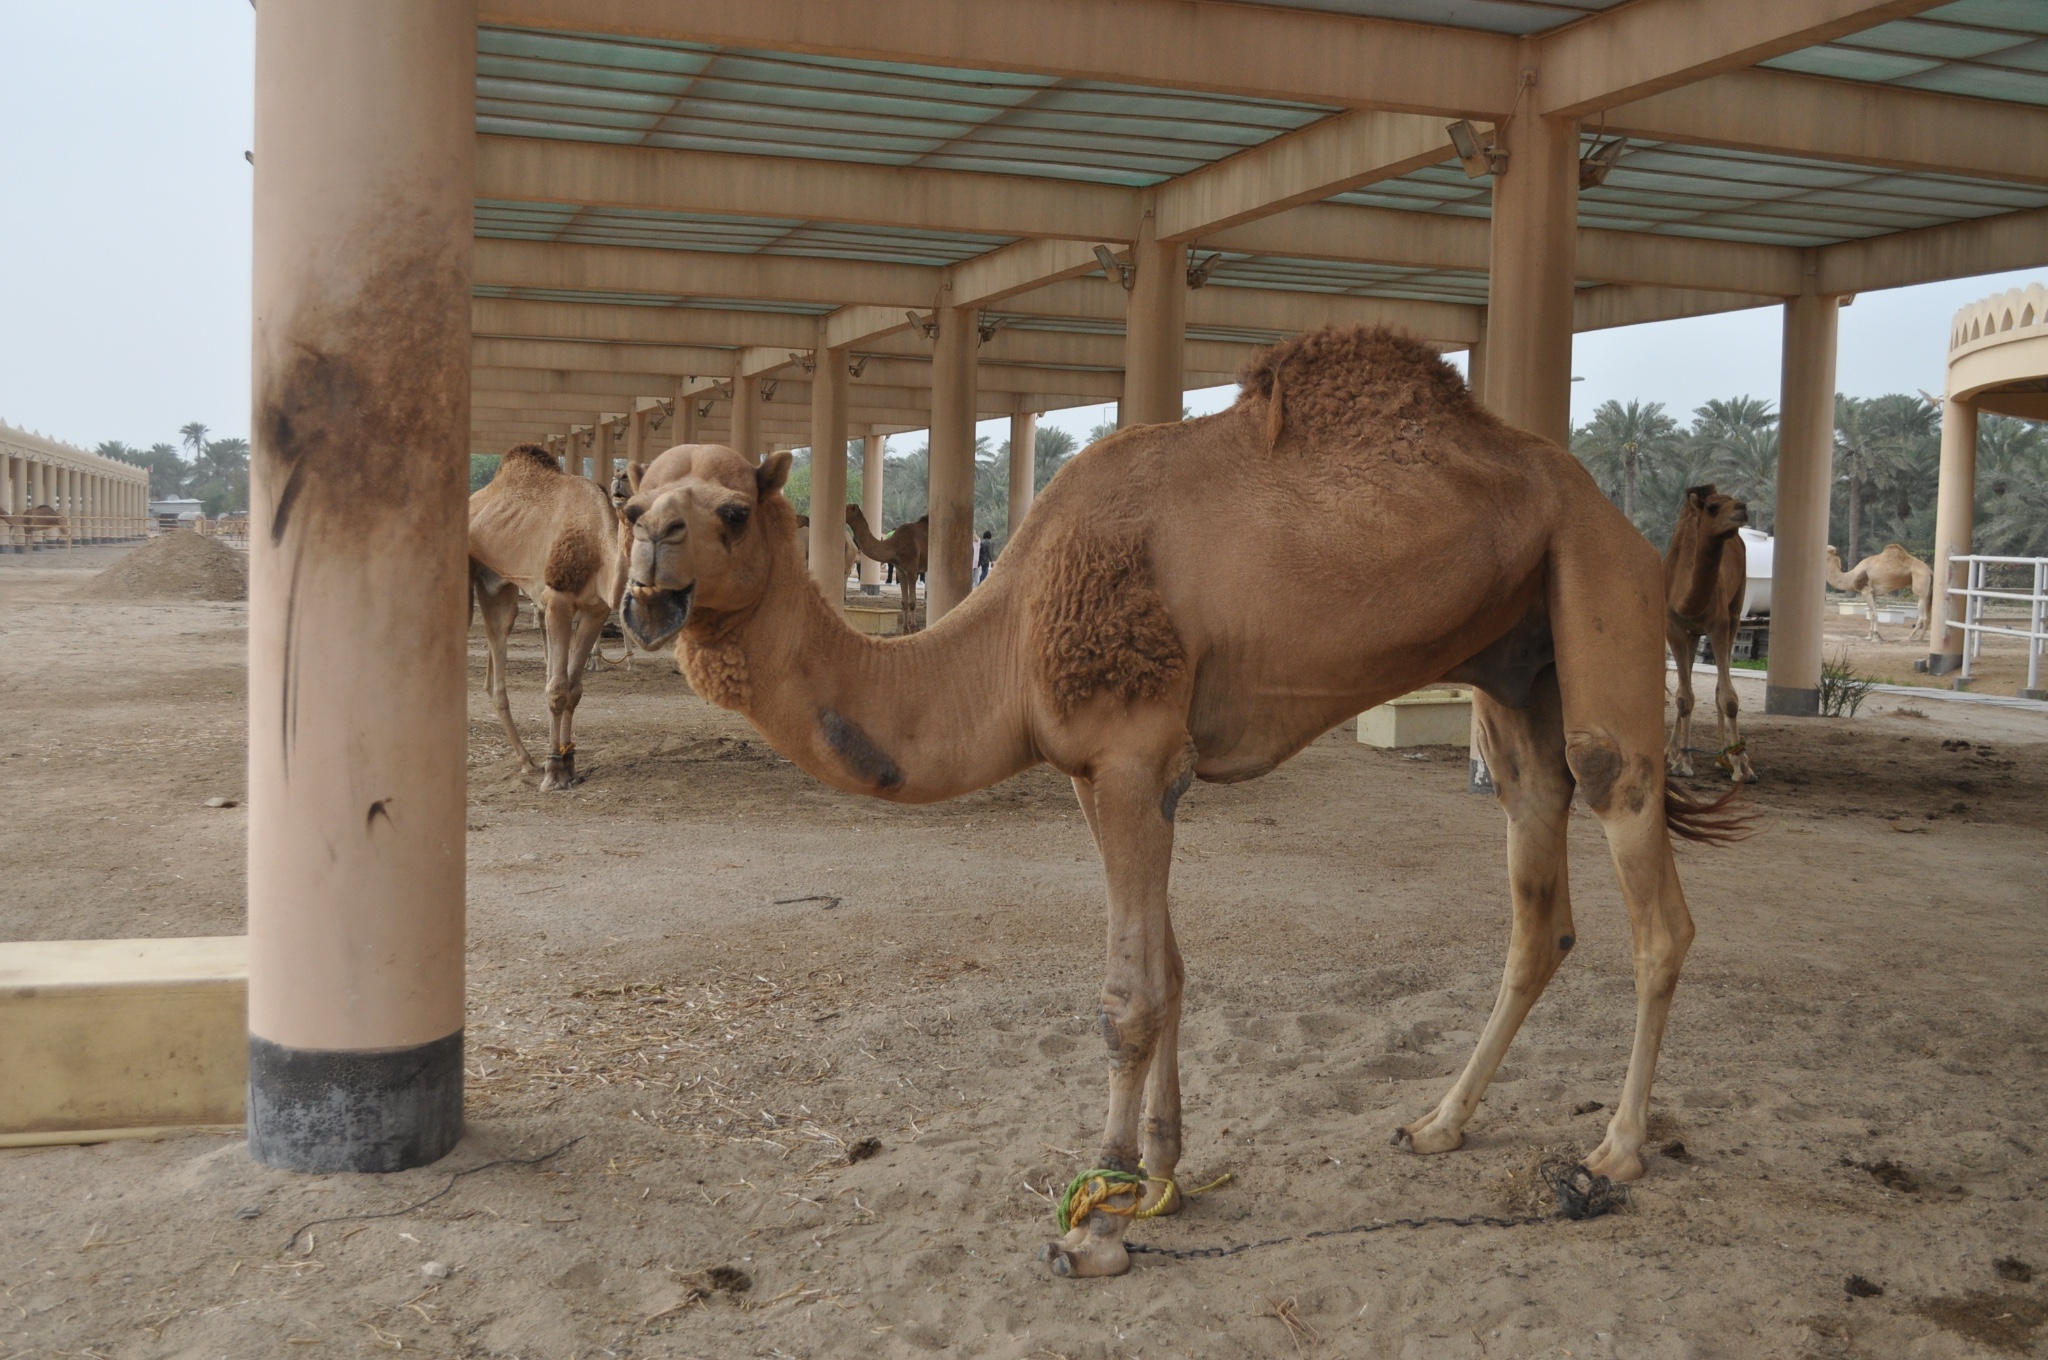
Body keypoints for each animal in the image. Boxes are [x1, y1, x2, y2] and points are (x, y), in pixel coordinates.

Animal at [471, 440, 630, 790]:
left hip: (497, 586)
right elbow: (556, 689)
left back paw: (526, 761)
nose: (621, 477)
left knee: (494, 663)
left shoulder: (595, 610)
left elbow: (574, 689)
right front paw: (554, 771)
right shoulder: (558, 602)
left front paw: (569, 765)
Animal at [618, 327, 1744, 1278]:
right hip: (1516, 656)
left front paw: (1097, 1221)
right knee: (1535, 870)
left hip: (1598, 584)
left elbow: (1128, 998)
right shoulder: (1105, 772)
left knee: (1640, 857)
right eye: (632, 507)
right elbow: (1170, 970)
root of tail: (1606, 503)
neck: (1010, 632)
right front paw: (1160, 1177)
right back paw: (1437, 1122)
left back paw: (1614, 1151)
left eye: (729, 513)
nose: (645, 577)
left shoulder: (1130, 753)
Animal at [1662, 489, 1761, 786]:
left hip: (1736, 611)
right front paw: (1682, 762)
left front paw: (1741, 766)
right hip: (1694, 634)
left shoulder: (1719, 624)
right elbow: (1684, 697)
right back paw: (1671, 753)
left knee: (1719, 688)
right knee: (1686, 688)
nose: (1741, 508)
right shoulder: (1674, 628)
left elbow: (1727, 697)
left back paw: (1724, 756)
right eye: (1713, 507)